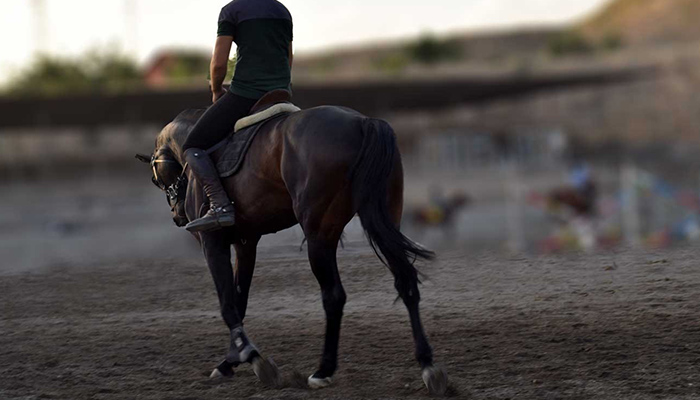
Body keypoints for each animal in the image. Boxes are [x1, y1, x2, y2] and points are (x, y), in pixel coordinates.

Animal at [135, 104, 448, 396]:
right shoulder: (246, 244)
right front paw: (230, 361)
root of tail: (362, 122)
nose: (177, 216)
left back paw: (324, 370)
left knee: (334, 296)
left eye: (154, 177)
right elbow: (239, 299)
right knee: (406, 282)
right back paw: (428, 366)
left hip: (320, 236)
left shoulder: (212, 244)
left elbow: (227, 303)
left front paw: (251, 357)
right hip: (384, 218)